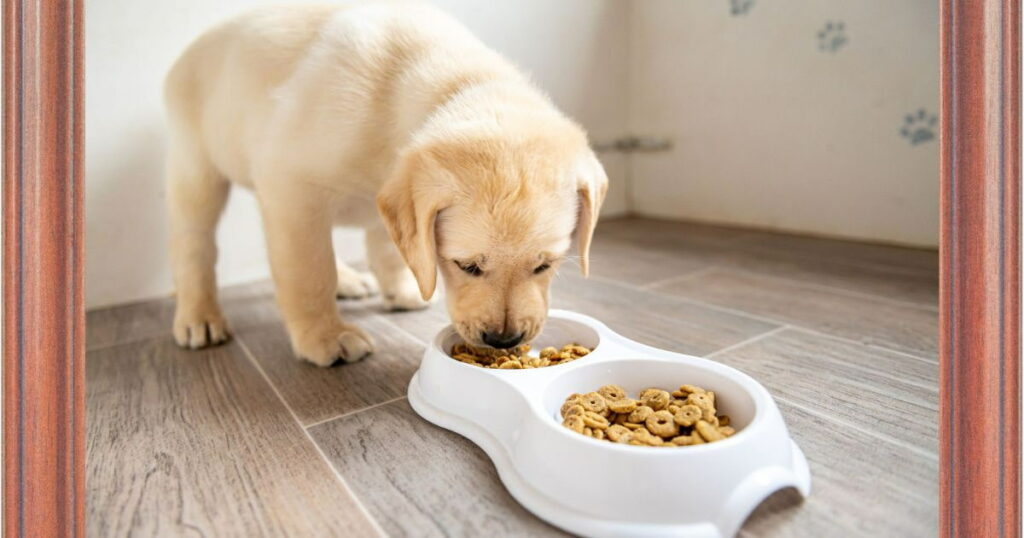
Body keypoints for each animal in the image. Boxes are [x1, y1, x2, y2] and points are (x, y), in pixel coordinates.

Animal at [162, 3, 602, 364]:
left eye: (544, 265)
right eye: (467, 266)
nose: (503, 340)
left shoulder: (389, 198)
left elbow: (390, 248)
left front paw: (400, 289)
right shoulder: (291, 186)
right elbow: (309, 271)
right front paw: (325, 337)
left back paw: (350, 281)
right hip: (196, 167)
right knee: (194, 244)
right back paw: (199, 316)